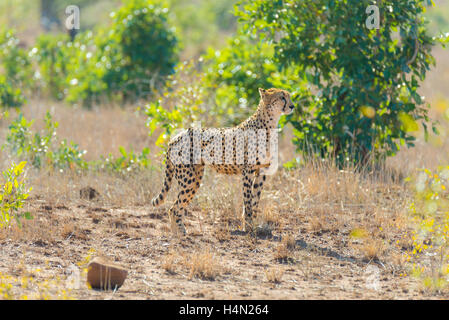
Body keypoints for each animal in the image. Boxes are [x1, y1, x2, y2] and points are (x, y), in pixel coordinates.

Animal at [152, 87, 296, 235]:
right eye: (282, 97)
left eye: (289, 96)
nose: (292, 106)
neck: (270, 123)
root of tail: (176, 136)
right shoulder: (248, 172)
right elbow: (248, 201)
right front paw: (248, 228)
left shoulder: (261, 171)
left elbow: (255, 201)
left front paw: (254, 226)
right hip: (189, 178)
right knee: (174, 208)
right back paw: (181, 234)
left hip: (195, 177)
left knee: (175, 207)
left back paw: (177, 233)